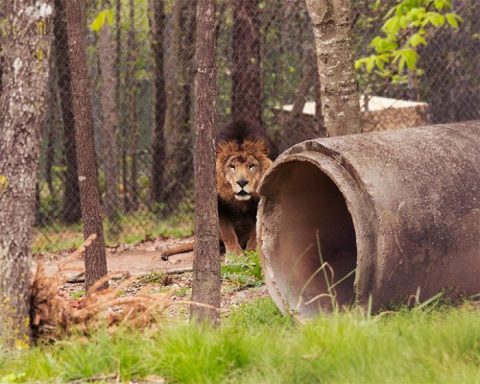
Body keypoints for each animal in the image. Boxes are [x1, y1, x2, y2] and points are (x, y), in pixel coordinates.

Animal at [217, 118, 280, 254]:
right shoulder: (219, 204)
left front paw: (252, 252)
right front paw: (234, 255)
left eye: (251, 166)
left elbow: (256, 230)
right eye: (232, 166)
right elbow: (227, 232)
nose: (242, 182)